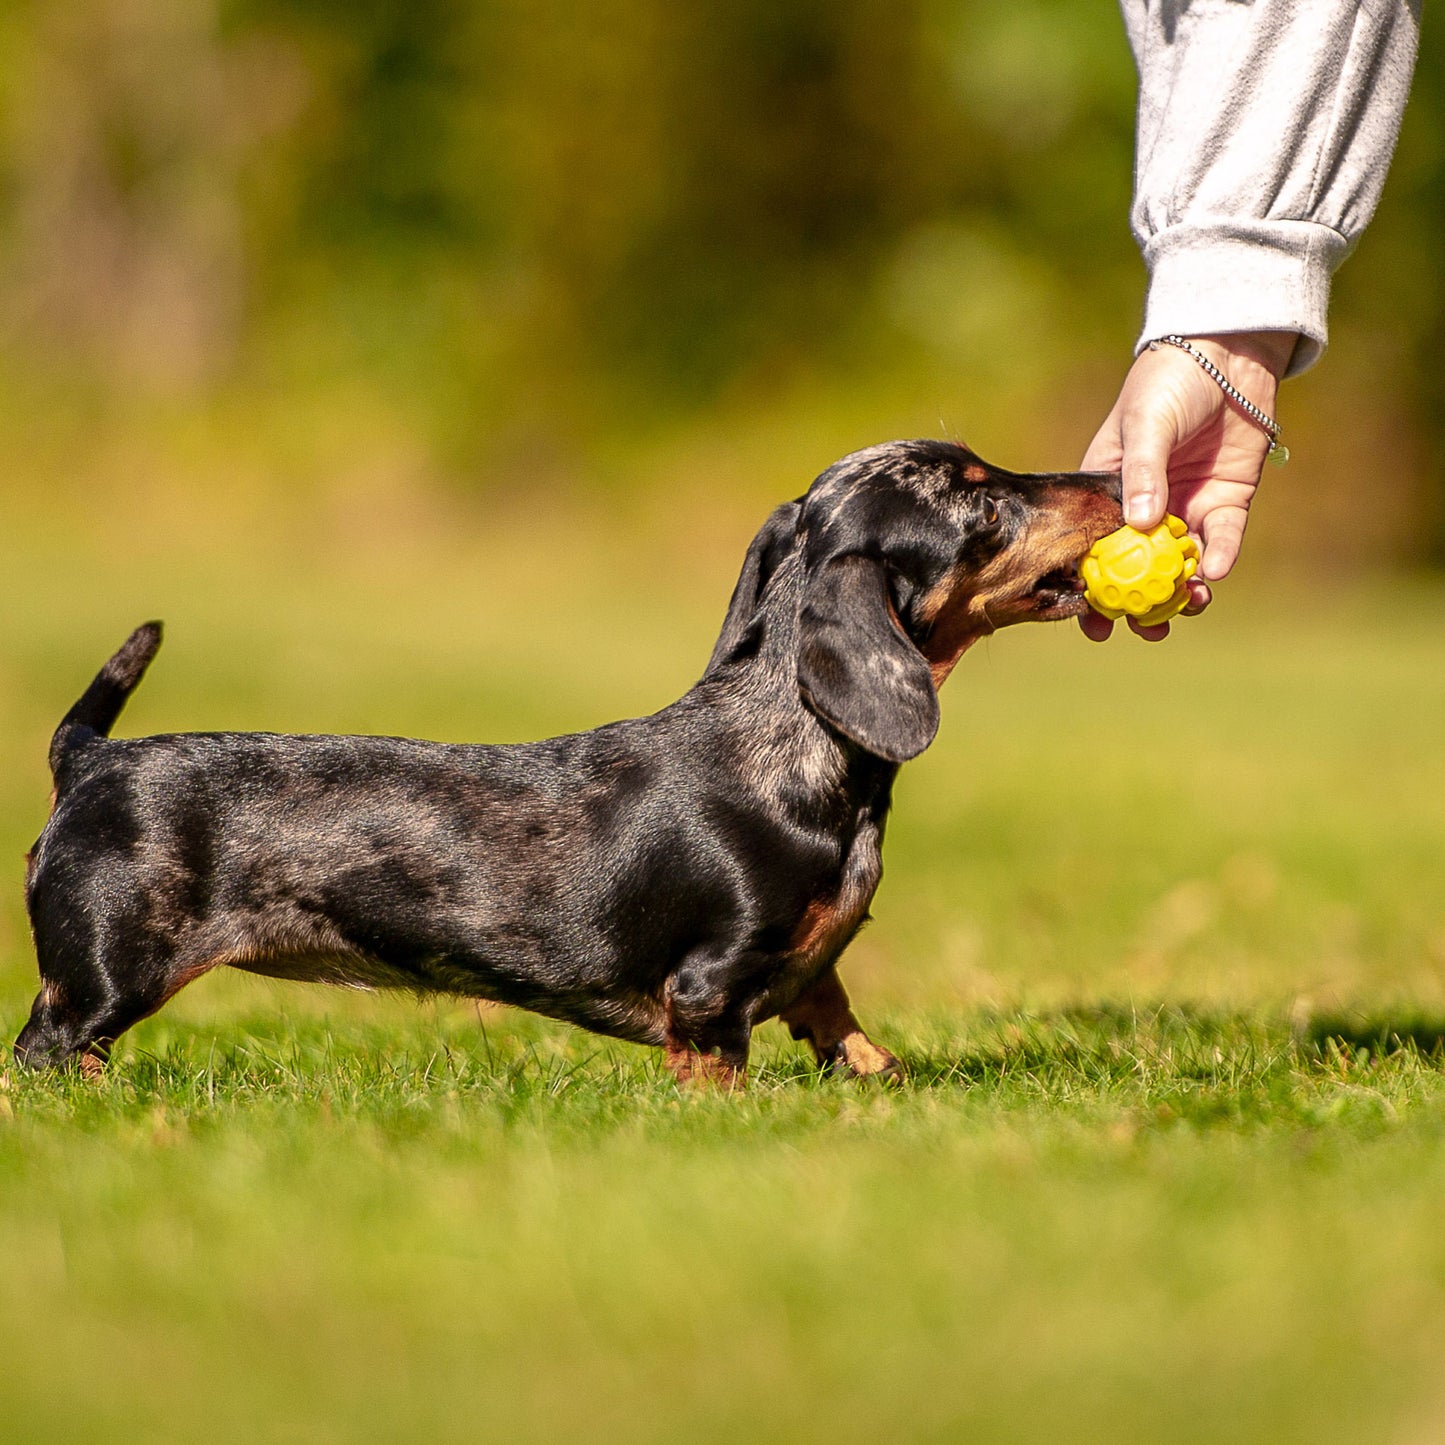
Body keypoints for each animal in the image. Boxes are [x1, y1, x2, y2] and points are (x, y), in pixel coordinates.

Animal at [14, 439, 1115, 1086]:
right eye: (979, 501)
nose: (1111, 479)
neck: (791, 741)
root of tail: (92, 759)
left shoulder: (810, 976)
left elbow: (844, 1026)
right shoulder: (707, 990)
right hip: (103, 978)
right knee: (40, 1054)